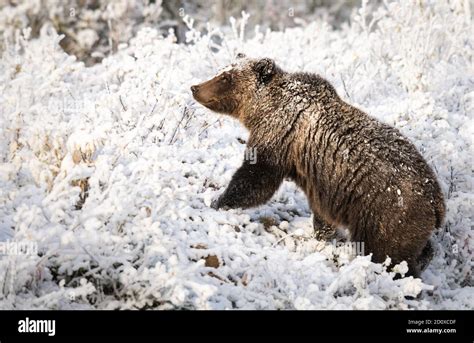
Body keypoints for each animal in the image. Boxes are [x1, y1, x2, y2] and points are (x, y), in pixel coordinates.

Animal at [189, 55, 444, 278]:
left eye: (226, 77)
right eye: (222, 70)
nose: (195, 87)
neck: (263, 108)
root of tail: (437, 199)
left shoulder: (279, 135)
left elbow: (256, 178)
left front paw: (218, 201)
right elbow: (321, 213)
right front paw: (323, 235)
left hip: (387, 213)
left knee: (388, 254)